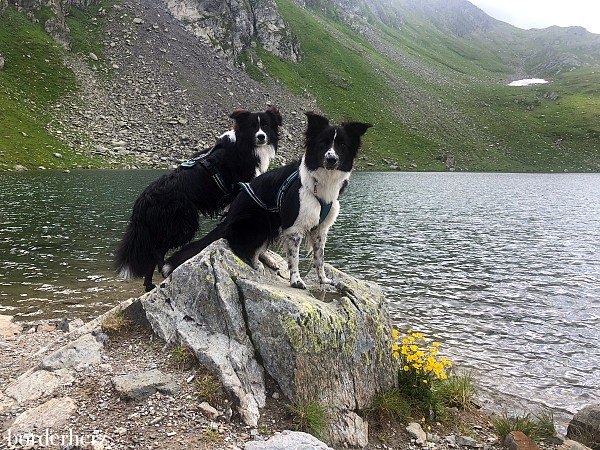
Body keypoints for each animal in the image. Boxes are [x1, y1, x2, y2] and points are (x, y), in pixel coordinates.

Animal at [115, 106, 284, 292]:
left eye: (266, 125)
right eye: (253, 126)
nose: (261, 137)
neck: (245, 145)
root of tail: (143, 200)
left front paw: (268, 261)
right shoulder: (244, 193)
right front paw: (261, 260)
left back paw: (149, 285)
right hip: (182, 225)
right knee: (158, 250)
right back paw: (163, 275)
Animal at [162, 112, 372, 288]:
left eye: (342, 146)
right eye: (323, 143)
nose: (331, 159)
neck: (320, 182)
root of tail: (228, 218)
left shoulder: (321, 229)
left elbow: (319, 258)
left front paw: (324, 280)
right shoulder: (293, 228)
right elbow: (294, 258)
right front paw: (296, 281)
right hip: (260, 219)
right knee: (241, 247)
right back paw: (256, 266)